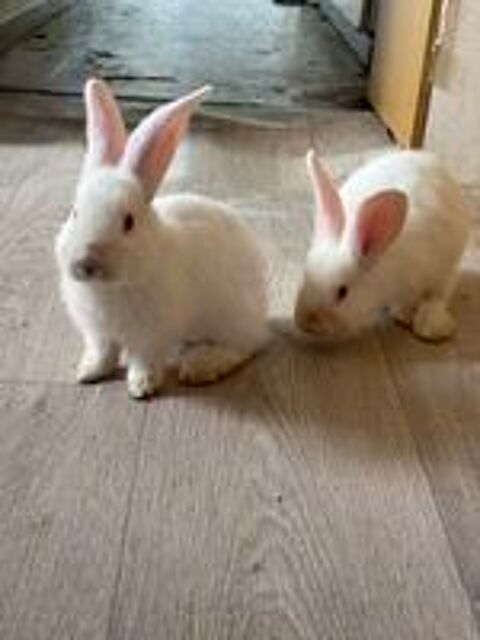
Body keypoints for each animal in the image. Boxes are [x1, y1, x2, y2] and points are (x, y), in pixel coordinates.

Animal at [55, 78, 269, 399]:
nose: (85, 263)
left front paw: (142, 387)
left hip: (230, 318)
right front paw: (89, 373)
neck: (111, 287)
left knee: (243, 347)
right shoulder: (98, 332)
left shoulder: (152, 334)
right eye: (74, 213)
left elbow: (144, 359)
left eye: (129, 222)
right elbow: (103, 353)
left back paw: (199, 366)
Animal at [294, 148, 470, 342]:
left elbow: (432, 297)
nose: (306, 323)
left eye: (342, 292)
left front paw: (417, 322)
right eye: (305, 276)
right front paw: (402, 314)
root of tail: (426, 158)